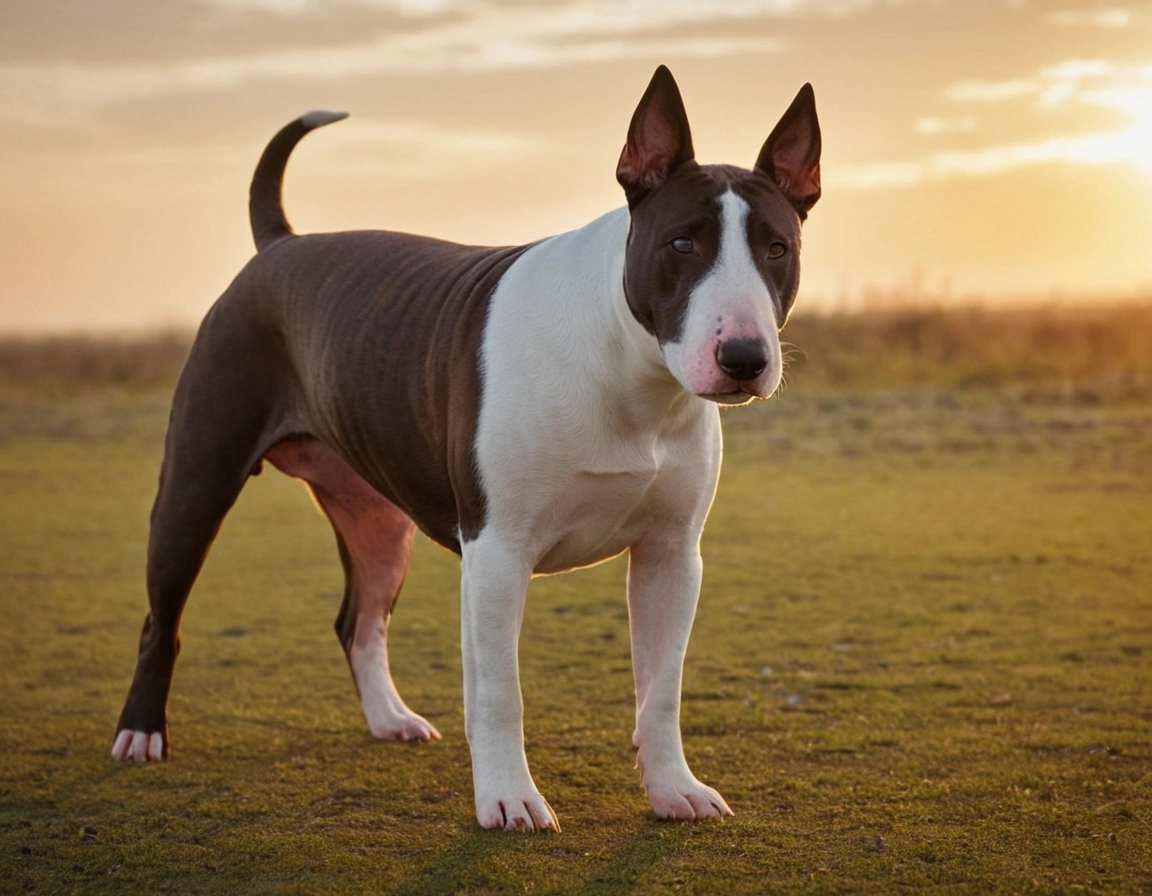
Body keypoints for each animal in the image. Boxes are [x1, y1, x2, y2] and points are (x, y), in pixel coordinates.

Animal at [110, 64, 820, 829]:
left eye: (777, 249)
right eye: (682, 244)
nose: (745, 358)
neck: (629, 370)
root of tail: (280, 246)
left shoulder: (670, 556)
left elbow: (660, 689)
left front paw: (673, 789)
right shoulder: (498, 551)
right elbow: (500, 691)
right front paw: (510, 798)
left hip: (377, 520)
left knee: (357, 617)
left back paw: (390, 718)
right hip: (198, 478)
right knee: (162, 616)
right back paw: (141, 732)